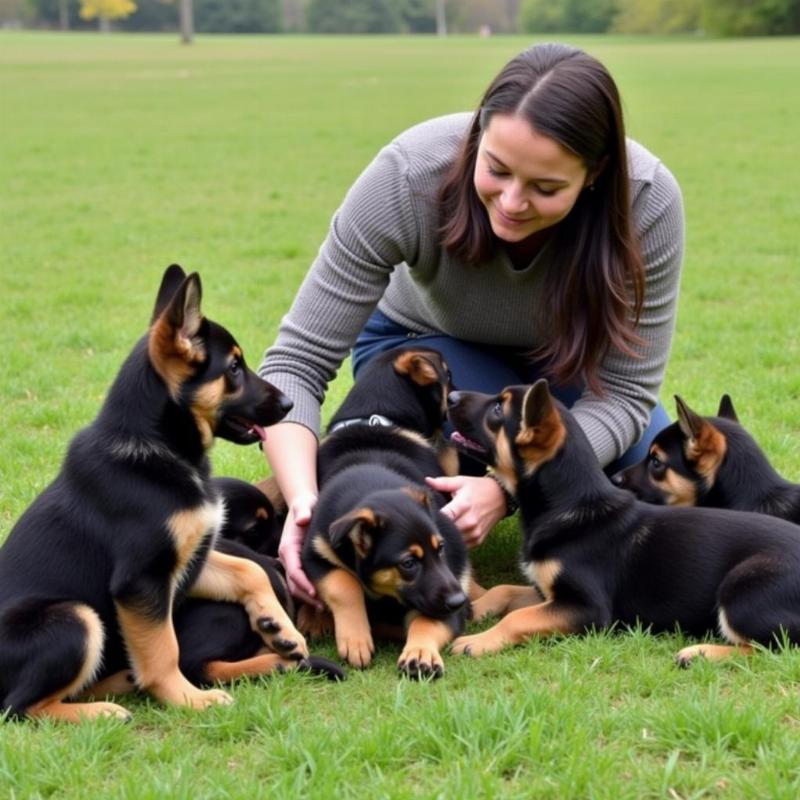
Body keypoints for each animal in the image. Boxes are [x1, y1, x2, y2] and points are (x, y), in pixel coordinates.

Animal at [0, 266, 306, 720]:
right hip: (75, 619)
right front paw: (188, 698)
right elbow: (164, 650)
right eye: (234, 367)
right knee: (19, 707)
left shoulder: (189, 562)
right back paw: (101, 712)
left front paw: (279, 627)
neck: (159, 448)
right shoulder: (142, 581)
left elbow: (247, 570)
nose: (288, 404)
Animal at [304, 346, 472, 680]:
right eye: (448, 374)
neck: (376, 419)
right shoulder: (315, 549)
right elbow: (343, 583)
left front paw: (420, 652)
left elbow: (428, 618)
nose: (458, 397)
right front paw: (355, 638)